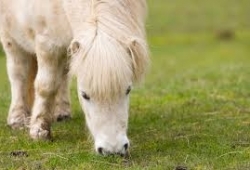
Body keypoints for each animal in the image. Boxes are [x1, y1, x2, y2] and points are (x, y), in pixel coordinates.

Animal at [0, 0, 148, 155]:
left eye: (128, 90)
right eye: (84, 95)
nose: (113, 149)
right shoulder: (47, 44)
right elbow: (45, 86)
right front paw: (39, 131)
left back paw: (61, 112)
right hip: (10, 38)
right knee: (18, 74)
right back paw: (17, 119)